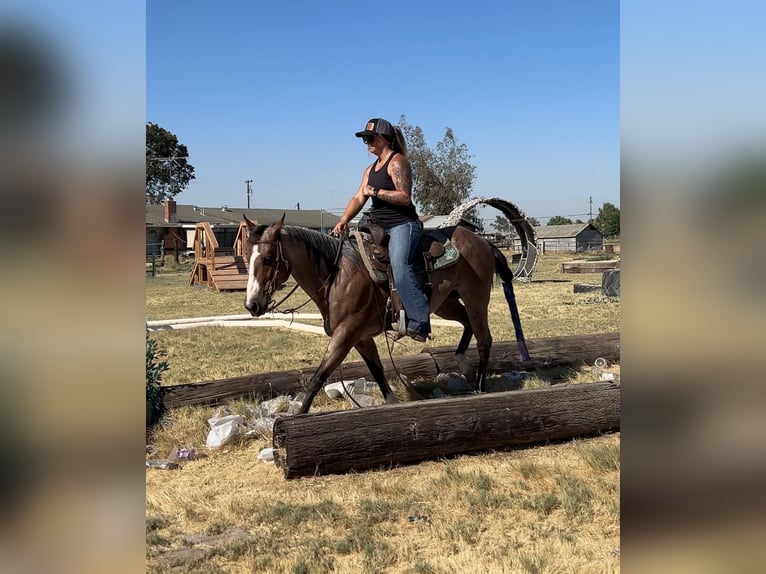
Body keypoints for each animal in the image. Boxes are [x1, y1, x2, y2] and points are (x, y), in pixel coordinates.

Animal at [243, 214, 529, 414]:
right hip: (446, 304)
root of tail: (485, 242)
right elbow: (378, 371)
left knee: (484, 339)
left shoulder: (345, 335)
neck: (337, 275)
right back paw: (464, 366)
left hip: (476, 298)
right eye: (247, 257)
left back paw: (480, 386)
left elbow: (318, 378)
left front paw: (296, 420)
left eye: (268, 258)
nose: (252, 305)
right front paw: (392, 405)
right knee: (468, 325)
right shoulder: (361, 338)